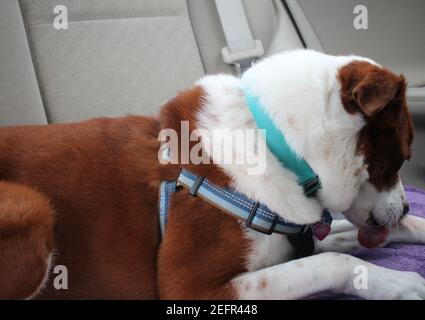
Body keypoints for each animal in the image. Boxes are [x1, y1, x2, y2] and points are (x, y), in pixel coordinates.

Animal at [0, 48, 424, 298]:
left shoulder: (292, 241)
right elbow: (333, 261)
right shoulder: (189, 287)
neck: (272, 142)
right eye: (400, 159)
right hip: (31, 205)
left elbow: (342, 240)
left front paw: (415, 225)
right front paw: (397, 282)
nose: (405, 207)